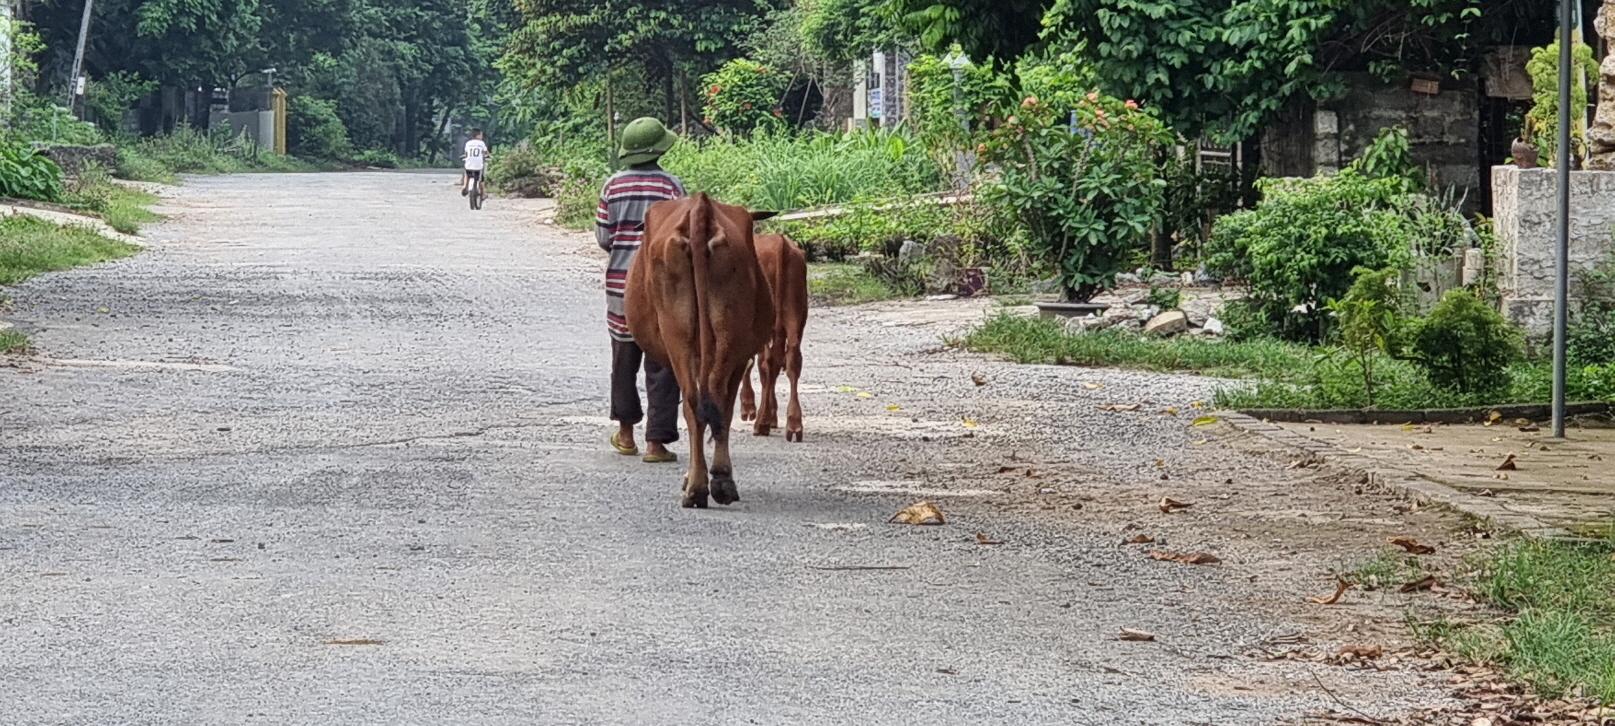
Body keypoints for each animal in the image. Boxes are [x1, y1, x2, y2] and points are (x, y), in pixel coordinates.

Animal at [739, 235, 807, 438]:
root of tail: (779, 241)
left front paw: (749, 408)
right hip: (796, 315)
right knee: (791, 360)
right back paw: (794, 424)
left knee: (768, 364)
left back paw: (761, 423)